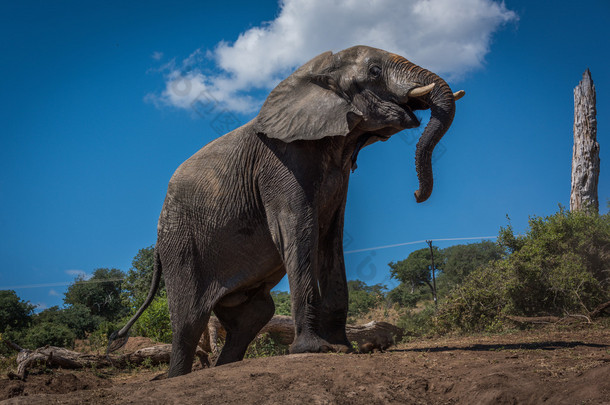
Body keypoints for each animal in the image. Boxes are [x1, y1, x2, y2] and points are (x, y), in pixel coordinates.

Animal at [108, 45, 460, 378]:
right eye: (374, 71)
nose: (416, 195)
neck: (315, 73)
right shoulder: (279, 164)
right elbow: (300, 229)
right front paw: (313, 350)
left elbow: (331, 235)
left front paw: (341, 348)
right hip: (180, 246)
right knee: (188, 322)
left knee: (253, 316)